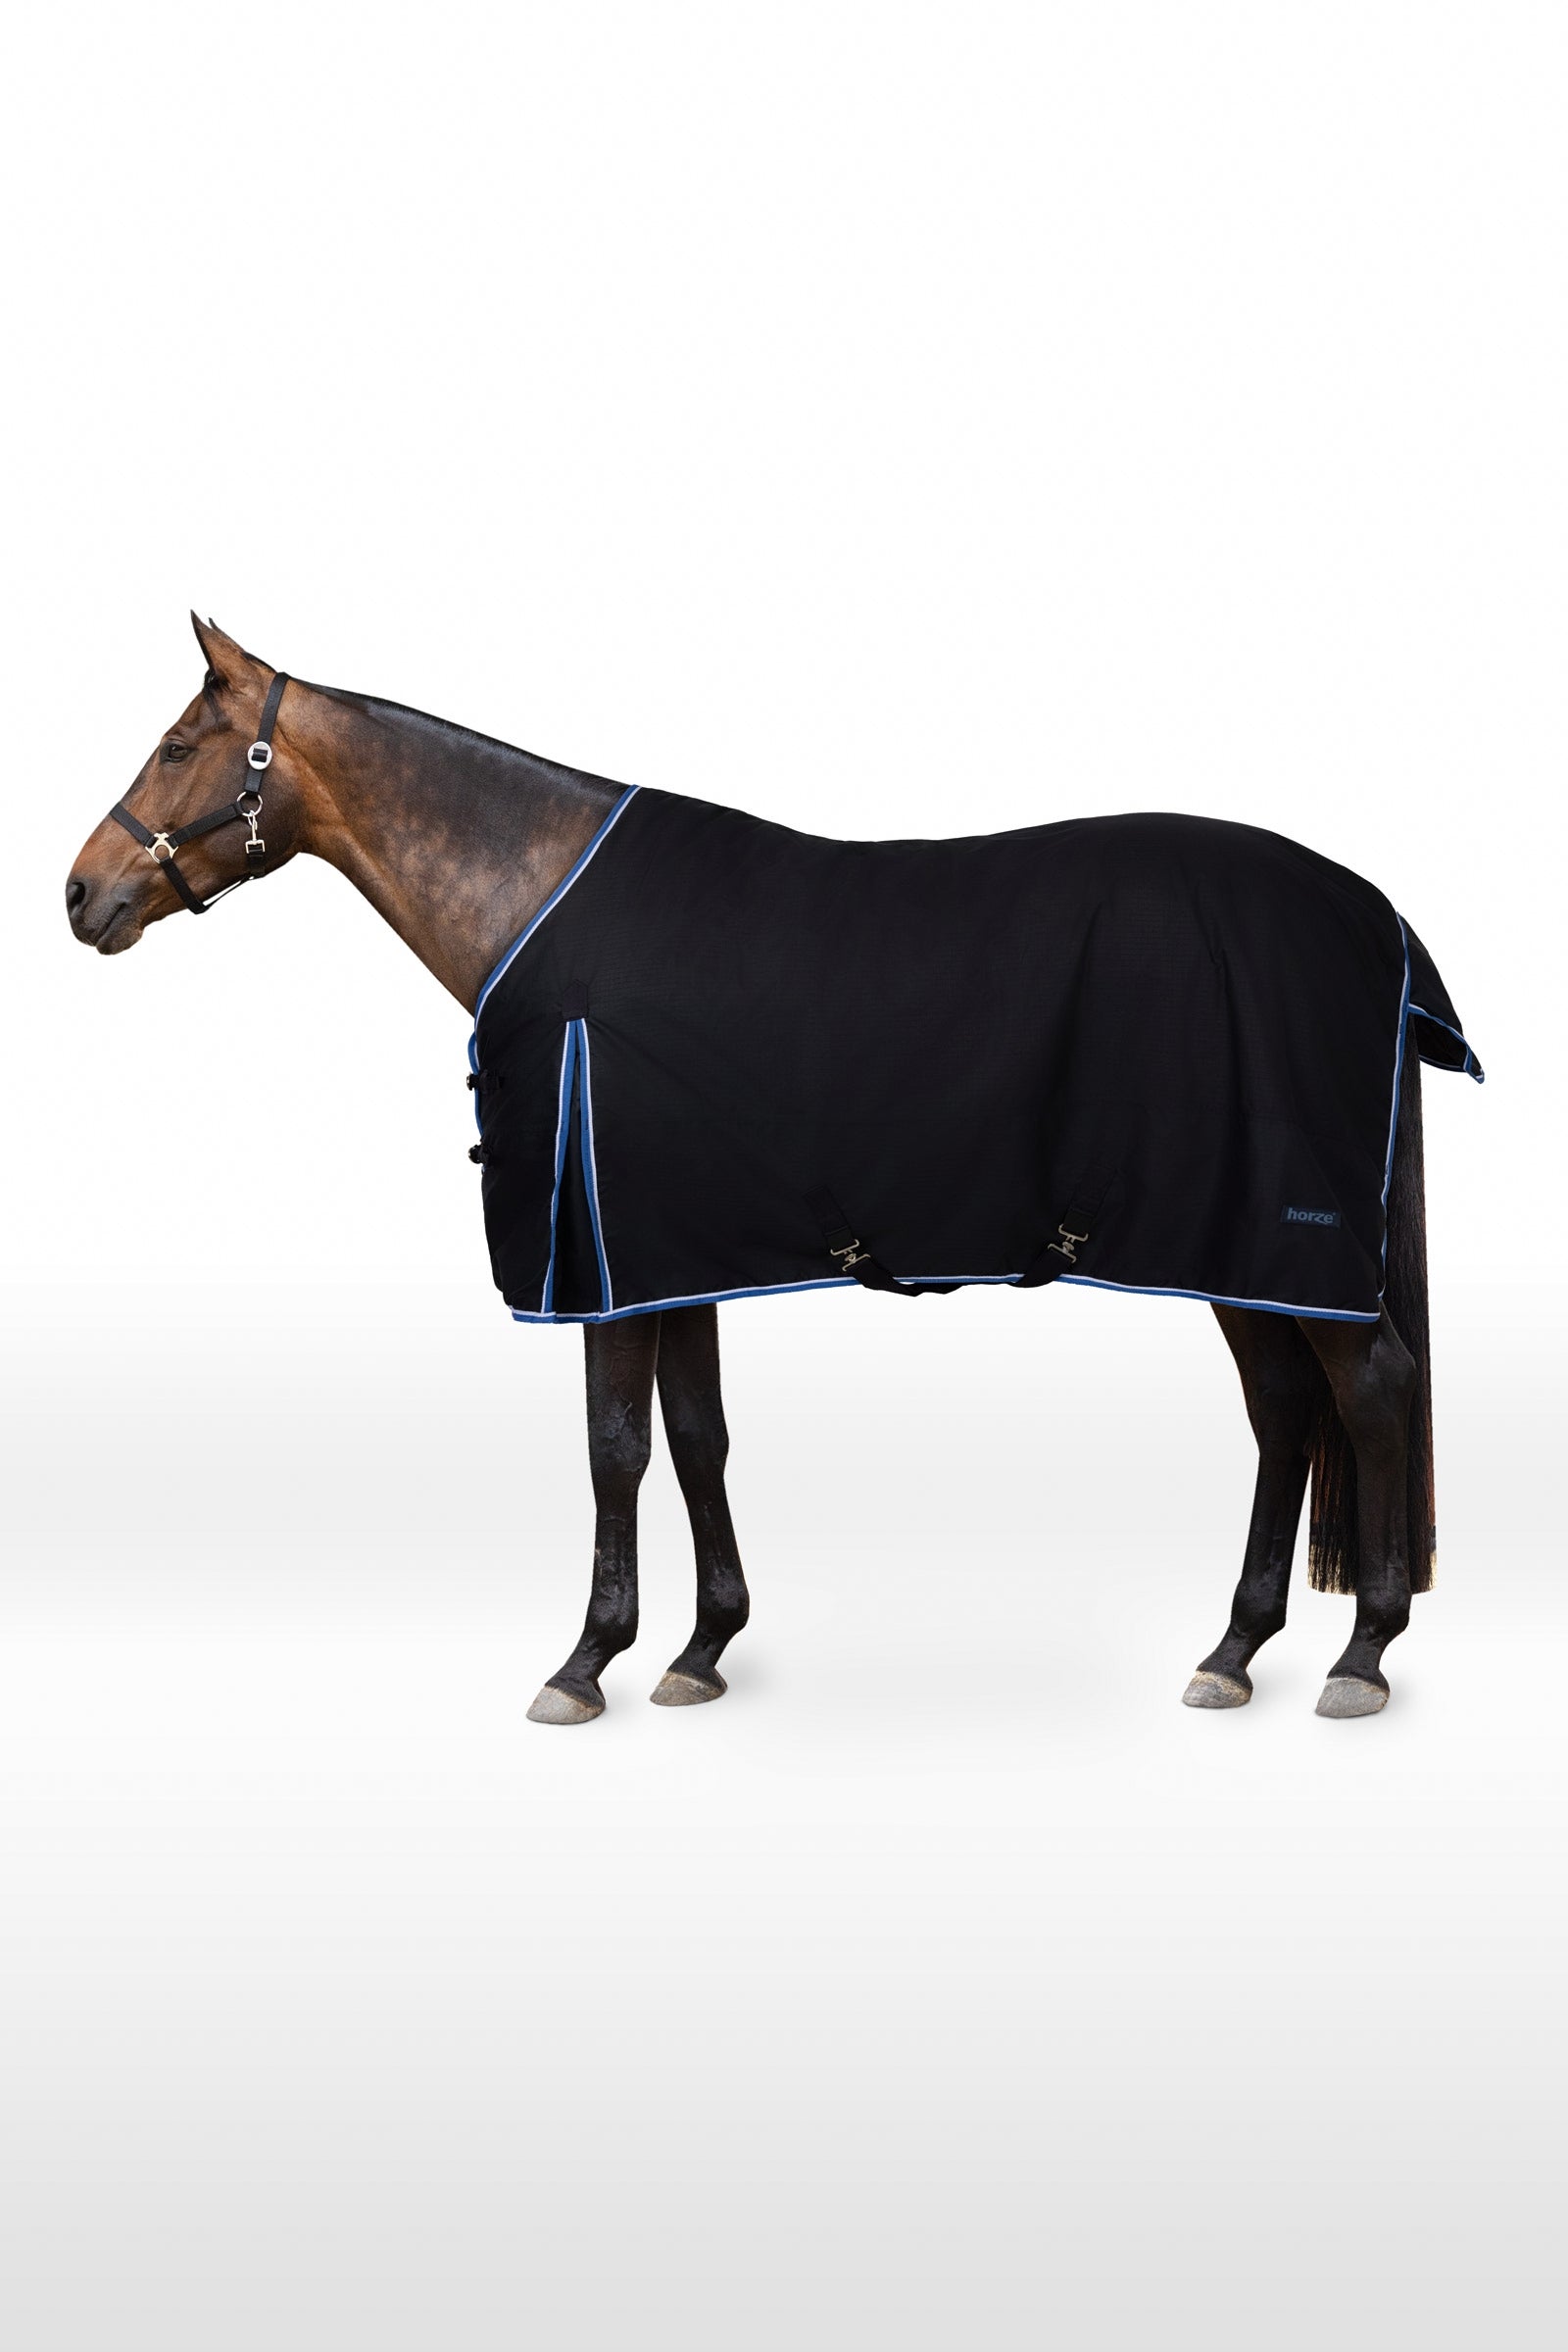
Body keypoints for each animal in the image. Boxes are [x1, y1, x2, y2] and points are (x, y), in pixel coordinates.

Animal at [66, 616, 1475, 1725]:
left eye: (180, 746)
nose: (81, 895)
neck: (541, 900)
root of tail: (1372, 917)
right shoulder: (667, 1256)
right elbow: (697, 1437)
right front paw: (701, 1648)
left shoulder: (602, 1260)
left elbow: (616, 1448)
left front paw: (585, 1663)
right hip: (1239, 1246)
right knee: (1285, 1411)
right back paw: (1235, 1649)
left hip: (1282, 1242)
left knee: (1370, 1392)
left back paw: (1362, 1653)